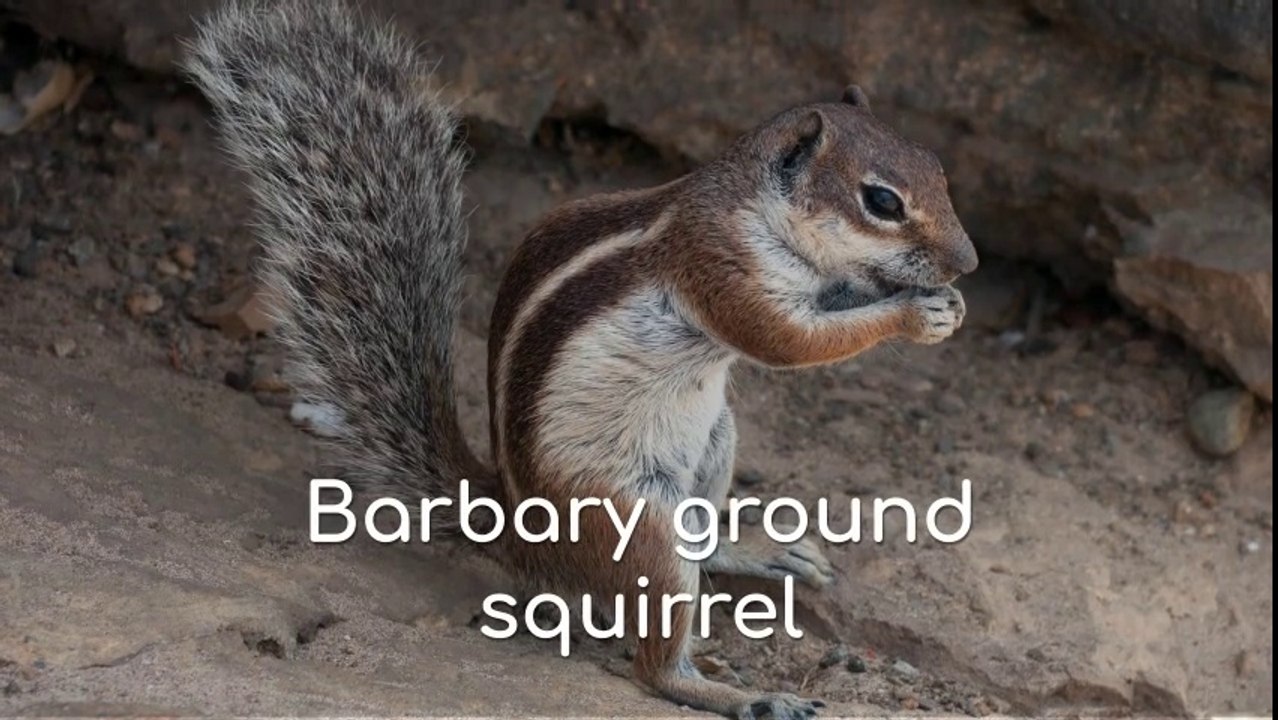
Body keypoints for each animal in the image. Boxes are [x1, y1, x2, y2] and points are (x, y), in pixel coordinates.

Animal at [184, 1, 978, 718]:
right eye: (881, 201)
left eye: (940, 170)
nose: (968, 262)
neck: (755, 206)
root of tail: (515, 532)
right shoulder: (719, 266)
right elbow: (786, 341)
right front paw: (916, 312)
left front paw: (934, 301)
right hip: (634, 518)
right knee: (655, 659)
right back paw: (741, 695)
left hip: (715, 441)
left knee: (702, 544)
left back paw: (756, 552)